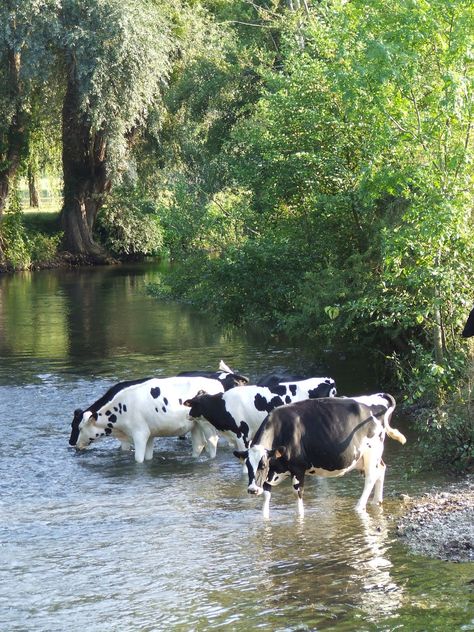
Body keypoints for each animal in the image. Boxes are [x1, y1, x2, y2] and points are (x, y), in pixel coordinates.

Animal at [68, 376, 224, 464]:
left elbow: (138, 460)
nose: (73, 444)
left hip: (206, 424)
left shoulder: (139, 434)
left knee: (212, 442)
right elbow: (148, 457)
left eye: (79, 428)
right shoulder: (149, 435)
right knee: (199, 444)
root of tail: (217, 383)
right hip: (195, 425)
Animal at [231, 396, 406, 520]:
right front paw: (265, 518)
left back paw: (359, 506)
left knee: (371, 477)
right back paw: (377, 501)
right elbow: (267, 496)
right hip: (367, 457)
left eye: (263, 465)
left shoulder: (298, 468)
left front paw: (300, 517)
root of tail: (378, 398)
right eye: (248, 465)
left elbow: (298, 493)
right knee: (381, 469)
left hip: (371, 451)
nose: (252, 489)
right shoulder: (272, 473)